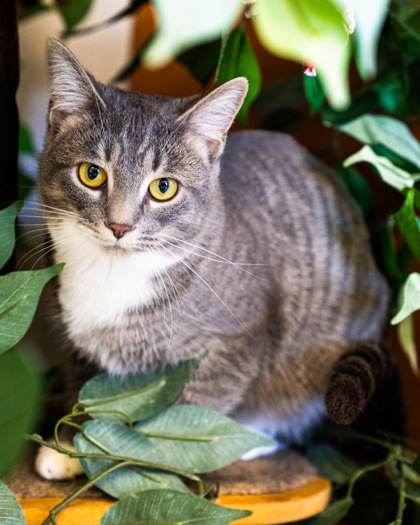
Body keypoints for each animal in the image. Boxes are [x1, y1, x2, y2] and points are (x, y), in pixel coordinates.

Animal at [34, 37, 398, 474]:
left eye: (163, 188)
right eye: (92, 174)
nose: (119, 226)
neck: (113, 276)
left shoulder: (234, 344)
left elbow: (189, 413)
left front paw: (135, 457)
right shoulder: (81, 347)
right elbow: (85, 388)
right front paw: (69, 445)